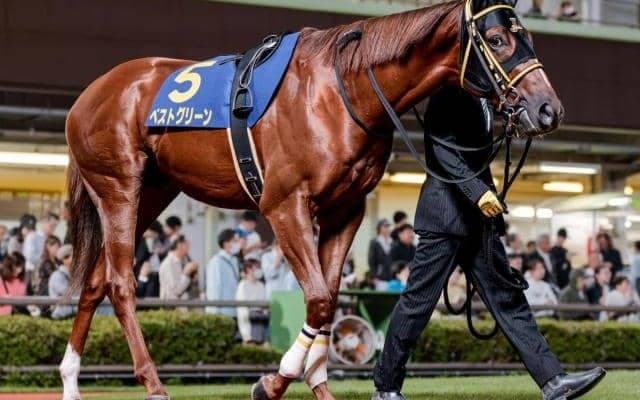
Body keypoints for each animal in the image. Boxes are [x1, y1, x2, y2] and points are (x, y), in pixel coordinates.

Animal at [60, 0, 563, 399]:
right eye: (496, 39)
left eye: (526, 36)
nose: (548, 109)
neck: (342, 90)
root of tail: (88, 96)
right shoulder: (285, 206)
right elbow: (318, 298)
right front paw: (272, 382)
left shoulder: (346, 210)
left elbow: (331, 297)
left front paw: (317, 381)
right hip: (119, 187)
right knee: (121, 283)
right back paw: (153, 382)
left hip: (154, 191)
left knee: (96, 279)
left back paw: (69, 381)